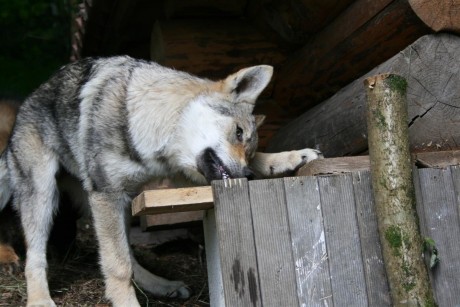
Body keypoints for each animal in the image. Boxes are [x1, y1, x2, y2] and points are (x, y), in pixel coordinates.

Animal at [0, 56, 324, 306]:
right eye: (239, 132)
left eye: (250, 148)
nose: (247, 177)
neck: (145, 122)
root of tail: (25, 104)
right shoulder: (108, 195)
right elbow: (117, 266)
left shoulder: (179, 175)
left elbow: (121, 261)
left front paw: (293, 157)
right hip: (45, 198)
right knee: (36, 257)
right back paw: (40, 299)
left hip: (115, 205)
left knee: (129, 255)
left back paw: (160, 285)